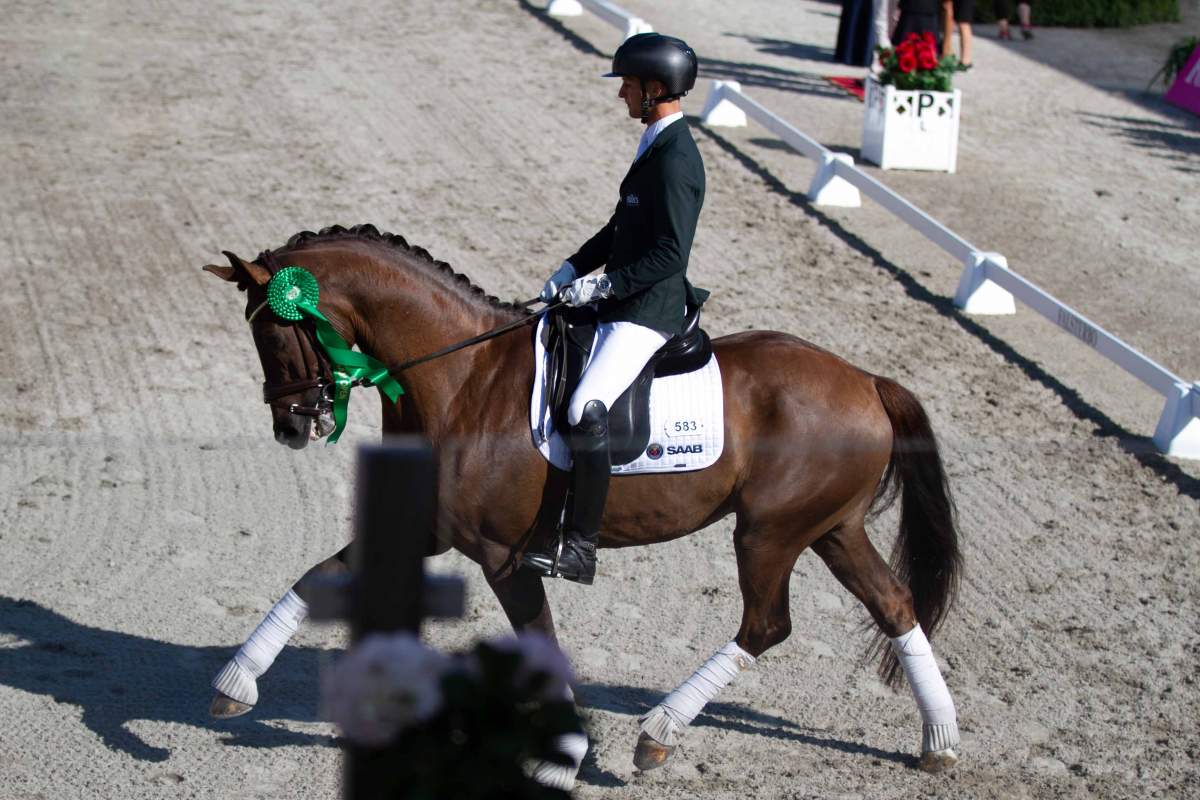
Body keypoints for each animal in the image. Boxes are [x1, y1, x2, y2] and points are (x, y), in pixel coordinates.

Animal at [203, 224, 963, 782]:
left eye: (274, 333)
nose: (291, 427)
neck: (463, 377)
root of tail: (867, 380)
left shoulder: (503, 556)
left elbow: (539, 639)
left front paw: (564, 757)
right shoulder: (429, 526)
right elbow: (317, 577)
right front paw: (236, 682)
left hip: (768, 533)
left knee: (767, 625)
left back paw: (657, 733)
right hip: (831, 528)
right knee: (894, 604)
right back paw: (940, 742)